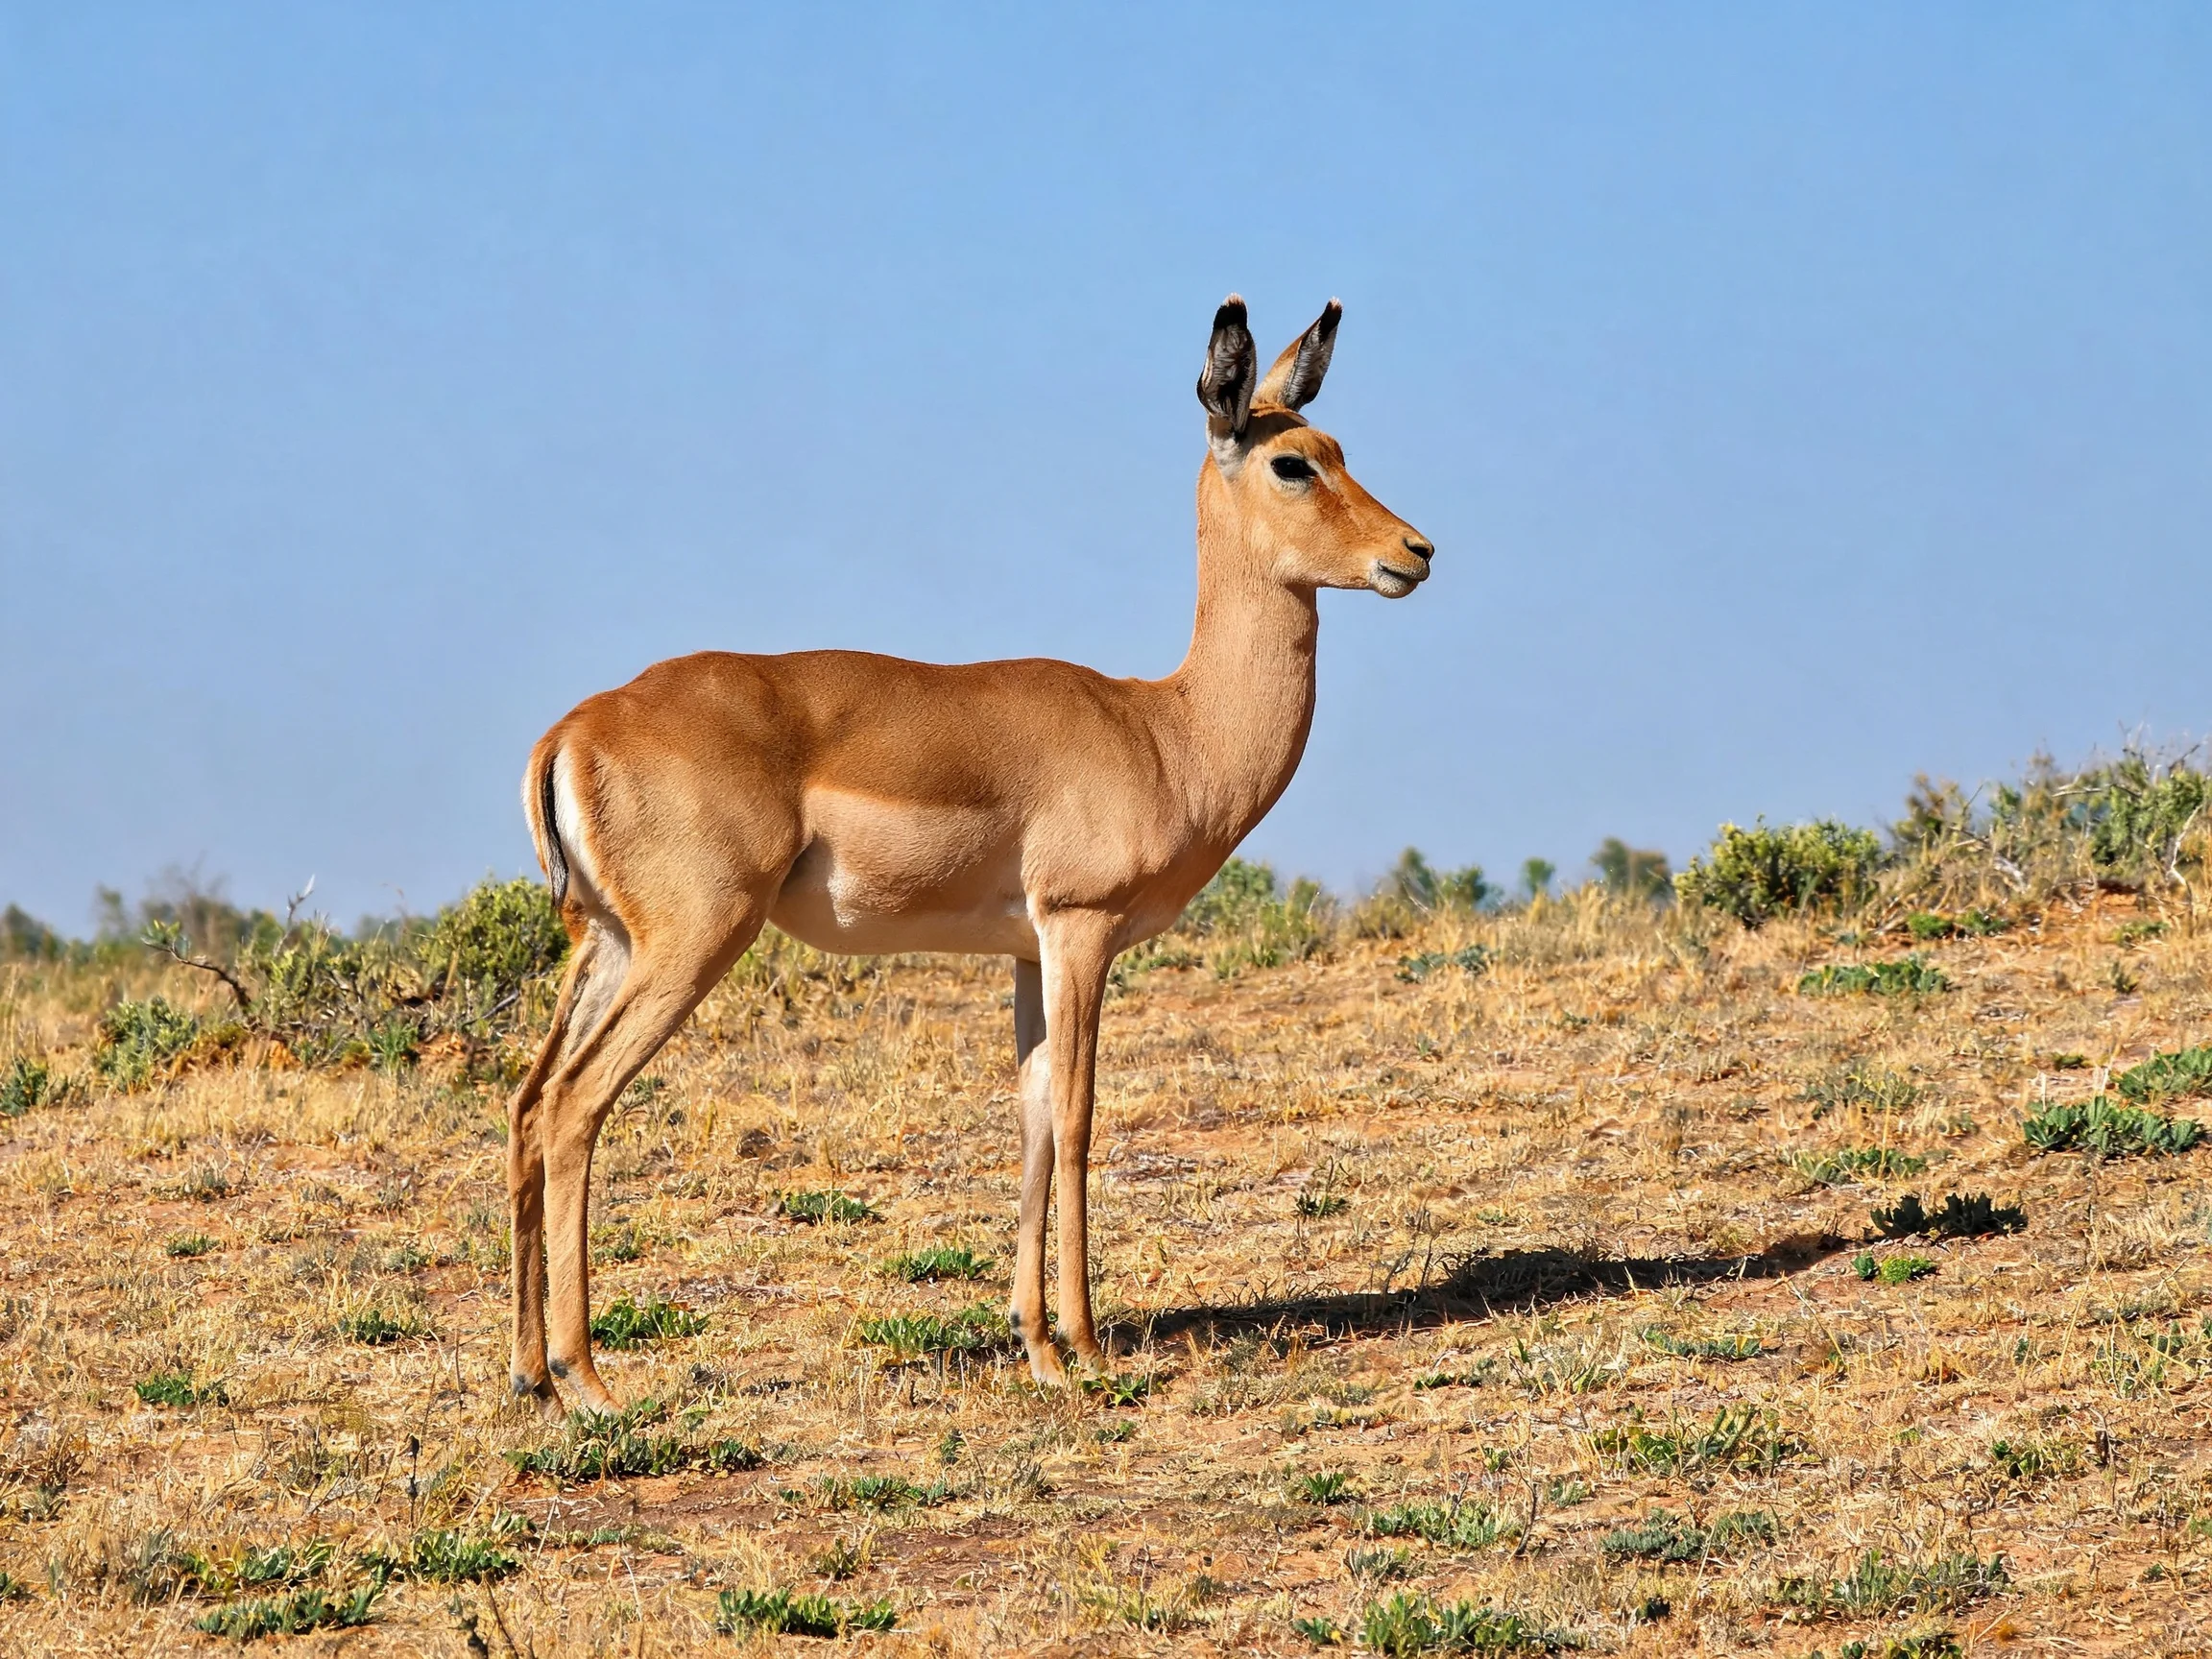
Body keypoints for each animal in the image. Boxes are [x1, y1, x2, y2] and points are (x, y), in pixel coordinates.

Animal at [507, 296, 1434, 1414]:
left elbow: (1031, 1123)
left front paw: (1036, 1344)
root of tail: (576, 729)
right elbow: (1077, 1118)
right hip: (690, 943)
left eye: (1340, 447)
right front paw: (1086, 1348)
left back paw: (528, 1375)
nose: (1416, 551)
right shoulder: (1081, 931)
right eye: (1294, 462)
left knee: (526, 1104)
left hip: (605, 945)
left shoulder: (1029, 953)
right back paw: (588, 1380)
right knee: (573, 1106)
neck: (1165, 731)